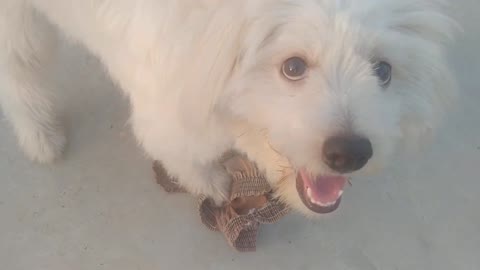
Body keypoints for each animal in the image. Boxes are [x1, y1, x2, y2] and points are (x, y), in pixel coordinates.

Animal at [0, 0, 458, 215]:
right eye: (293, 66)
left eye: (383, 71)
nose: (351, 153)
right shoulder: (167, 117)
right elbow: (184, 157)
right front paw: (211, 183)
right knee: (18, 71)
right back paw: (39, 134)